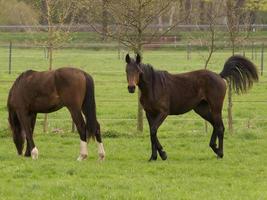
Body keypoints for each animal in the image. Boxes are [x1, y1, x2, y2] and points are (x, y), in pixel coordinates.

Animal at [125, 53, 260, 161]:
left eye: (138, 71)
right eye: (127, 71)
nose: (131, 88)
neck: (153, 87)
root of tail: (219, 75)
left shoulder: (163, 112)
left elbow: (153, 131)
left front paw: (163, 154)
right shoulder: (149, 113)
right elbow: (152, 133)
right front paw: (153, 157)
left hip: (215, 107)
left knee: (220, 127)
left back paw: (220, 153)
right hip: (202, 109)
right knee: (215, 125)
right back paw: (215, 148)